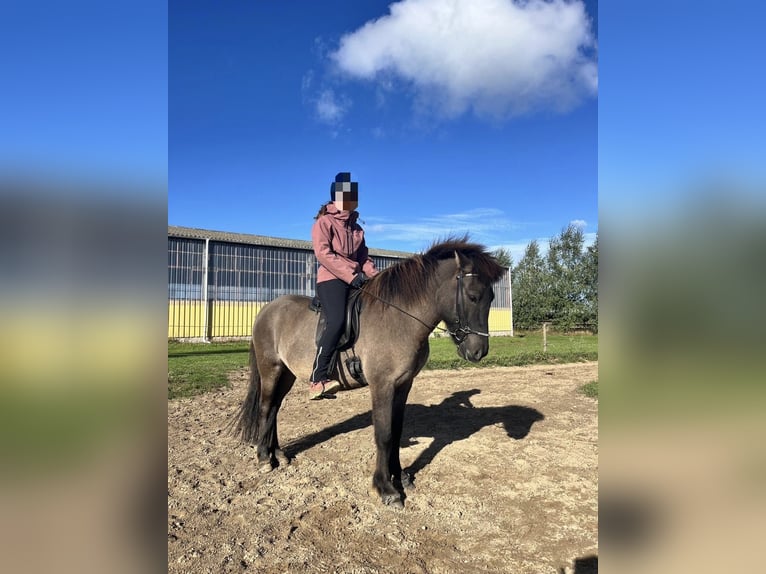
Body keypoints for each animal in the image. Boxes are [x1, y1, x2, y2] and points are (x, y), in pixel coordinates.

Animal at [233, 237, 505, 507]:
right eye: (473, 296)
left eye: (492, 297)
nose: (479, 351)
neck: (399, 318)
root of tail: (267, 310)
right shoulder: (381, 384)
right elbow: (383, 434)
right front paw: (386, 489)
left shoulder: (403, 384)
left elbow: (396, 431)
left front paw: (400, 476)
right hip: (270, 368)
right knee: (266, 407)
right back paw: (264, 457)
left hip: (287, 373)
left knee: (275, 408)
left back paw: (278, 453)